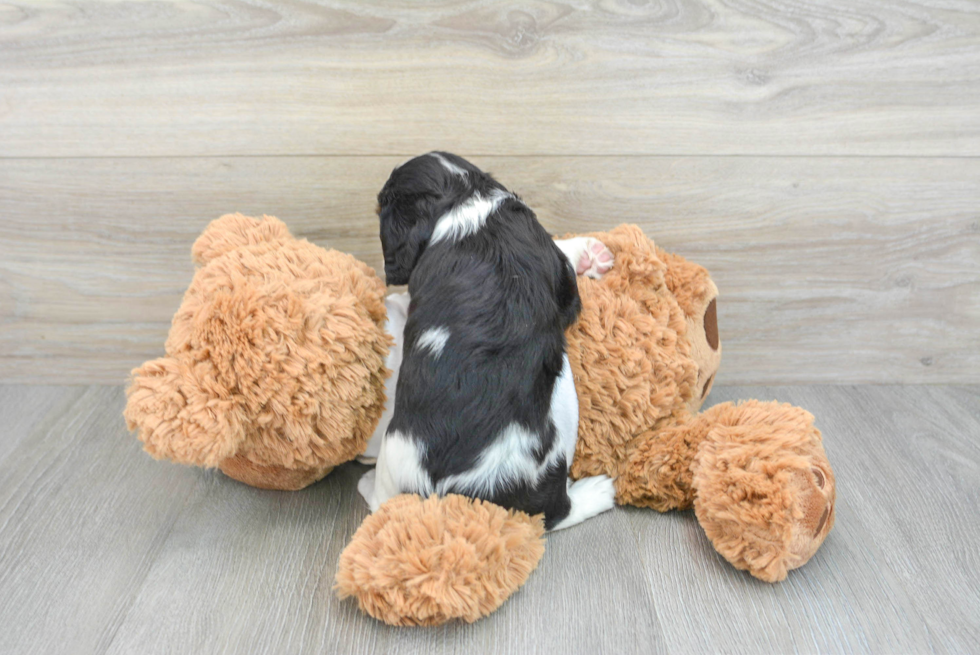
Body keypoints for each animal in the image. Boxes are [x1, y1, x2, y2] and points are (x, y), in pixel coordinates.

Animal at [360, 151, 616, 532]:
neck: (462, 196)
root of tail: (464, 494)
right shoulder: (556, 271)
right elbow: (566, 269)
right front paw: (586, 253)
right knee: (554, 512)